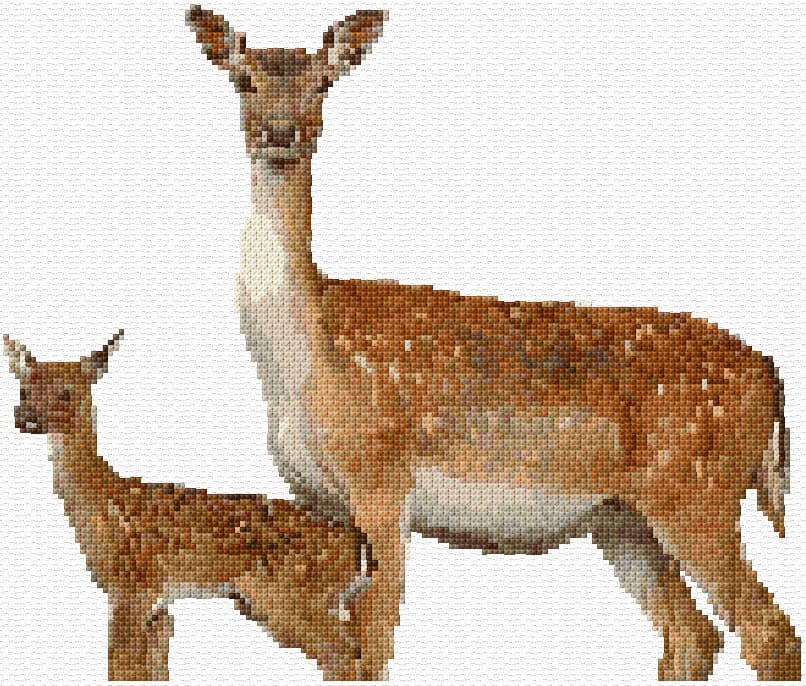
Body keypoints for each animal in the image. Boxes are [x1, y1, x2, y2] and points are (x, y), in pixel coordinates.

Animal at [3, 330, 373, 681]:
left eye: (66, 392)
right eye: (23, 390)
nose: (25, 418)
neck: (106, 505)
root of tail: (358, 547)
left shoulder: (133, 589)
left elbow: (122, 666)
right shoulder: (157, 605)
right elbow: (150, 668)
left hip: (288, 595)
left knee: (342, 655)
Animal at [186, 6, 799, 680]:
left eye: (324, 82)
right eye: (243, 79)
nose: (279, 132)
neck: (301, 366)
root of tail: (771, 375)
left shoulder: (382, 482)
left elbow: (372, 649)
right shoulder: (319, 500)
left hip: (698, 488)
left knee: (767, 631)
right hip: (623, 518)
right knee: (693, 635)